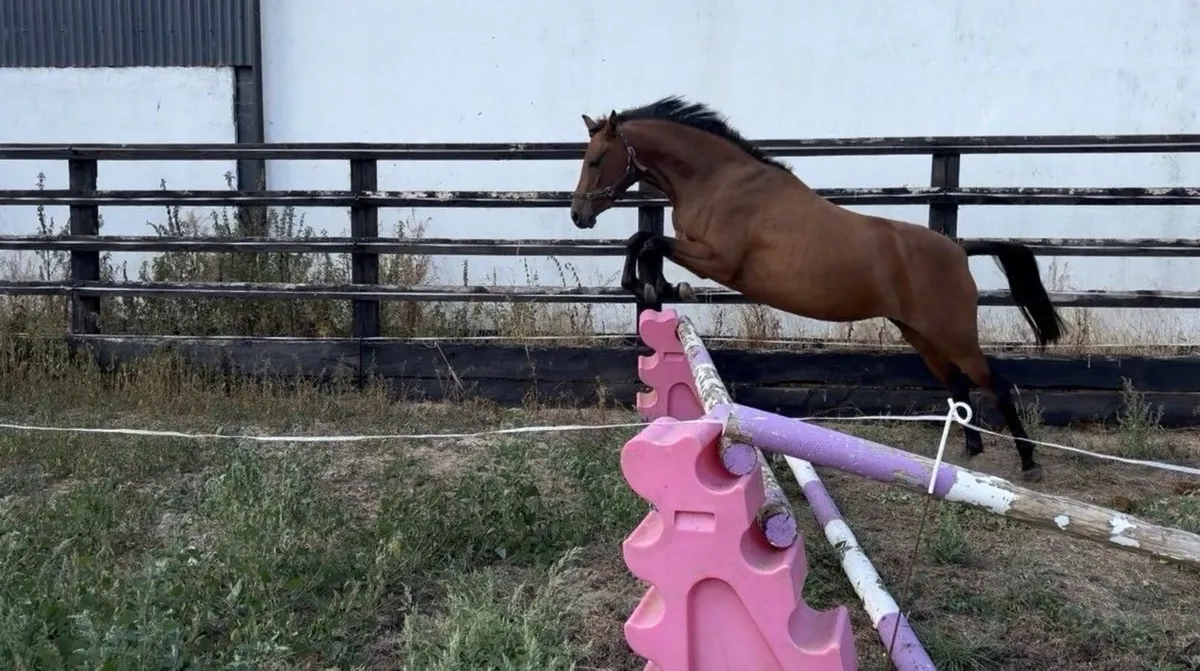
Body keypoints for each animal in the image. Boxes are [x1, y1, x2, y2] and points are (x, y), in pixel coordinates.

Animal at [568, 96, 1065, 483]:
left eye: (596, 160)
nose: (578, 215)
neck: (720, 181)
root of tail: (959, 250)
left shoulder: (718, 261)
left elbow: (648, 241)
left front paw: (661, 287)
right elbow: (642, 241)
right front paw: (653, 287)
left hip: (953, 334)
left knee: (994, 383)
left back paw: (1028, 463)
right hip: (921, 335)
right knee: (959, 386)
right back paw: (969, 452)